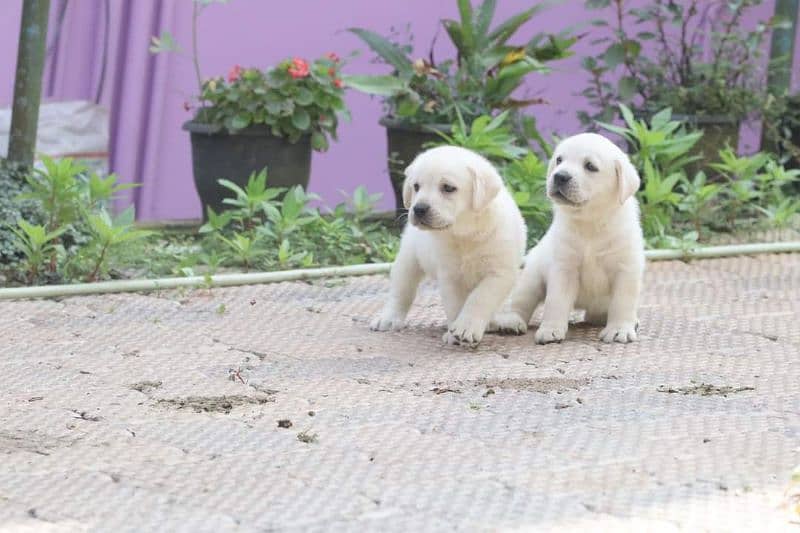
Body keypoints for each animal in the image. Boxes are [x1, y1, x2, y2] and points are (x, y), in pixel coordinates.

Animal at [372, 143, 528, 348]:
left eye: (448, 188)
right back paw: (389, 318)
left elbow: (480, 298)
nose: (419, 209)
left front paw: (466, 327)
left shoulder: (499, 273)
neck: (465, 234)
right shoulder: (450, 275)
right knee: (401, 291)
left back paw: (503, 322)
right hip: (408, 259)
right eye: (416, 186)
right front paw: (455, 333)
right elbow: (456, 305)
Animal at [490, 133, 648, 344]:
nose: (560, 176)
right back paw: (511, 322)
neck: (590, 222)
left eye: (590, 166)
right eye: (559, 160)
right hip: (532, 275)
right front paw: (551, 330)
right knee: (521, 301)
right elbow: (556, 301)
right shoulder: (564, 267)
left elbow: (622, 302)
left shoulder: (626, 269)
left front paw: (619, 329)